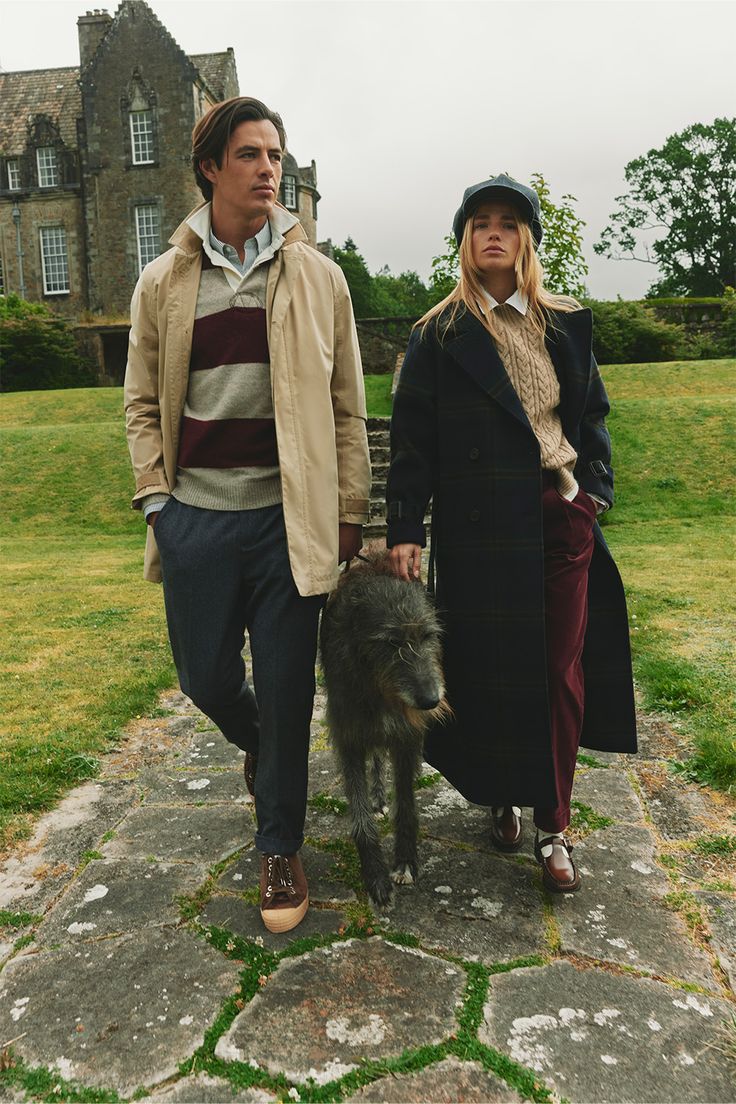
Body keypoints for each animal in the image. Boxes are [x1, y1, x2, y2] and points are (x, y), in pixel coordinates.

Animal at [320, 552, 450, 905]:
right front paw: (375, 875)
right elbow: (360, 812)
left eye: (428, 636)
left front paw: (405, 861)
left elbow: (406, 804)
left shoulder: (407, 738)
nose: (431, 701)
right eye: (392, 641)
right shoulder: (348, 734)